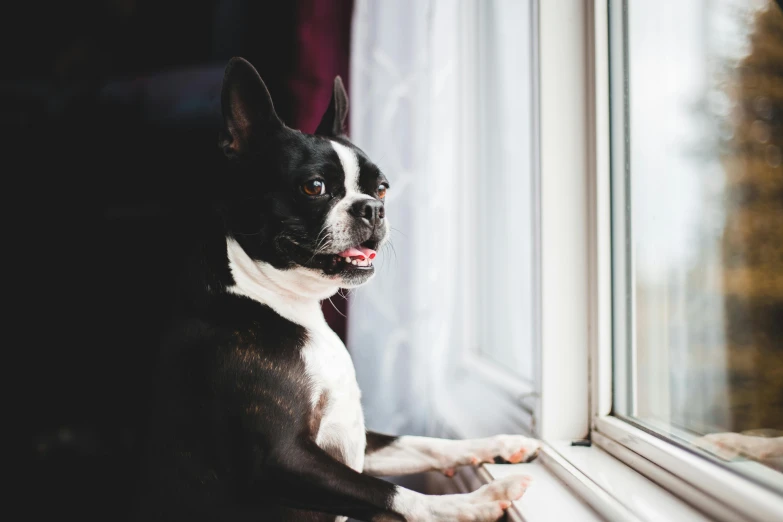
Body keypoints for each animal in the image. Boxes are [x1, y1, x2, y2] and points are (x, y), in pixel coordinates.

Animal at [136, 58, 540, 520]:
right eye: (314, 187)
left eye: (381, 188)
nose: (373, 208)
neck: (285, 303)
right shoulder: (282, 459)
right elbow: (391, 494)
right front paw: (472, 502)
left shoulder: (354, 437)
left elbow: (420, 443)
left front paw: (499, 443)